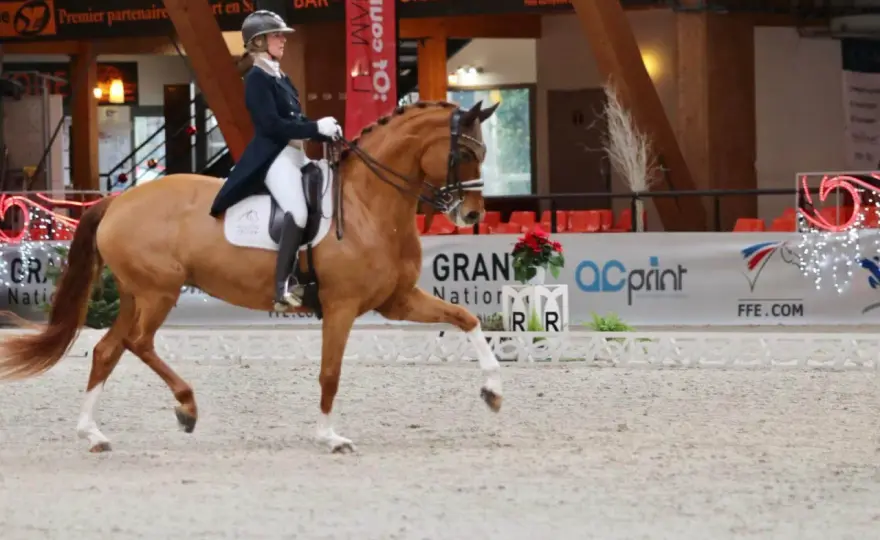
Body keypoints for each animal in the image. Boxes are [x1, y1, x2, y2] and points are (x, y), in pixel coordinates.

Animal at [0, 100, 504, 454]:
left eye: (484, 151)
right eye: (464, 151)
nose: (472, 214)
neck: (367, 204)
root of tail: (116, 201)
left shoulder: (396, 300)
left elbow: (466, 318)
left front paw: (494, 391)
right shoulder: (341, 307)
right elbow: (330, 373)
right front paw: (330, 437)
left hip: (135, 293)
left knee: (109, 349)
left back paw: (94, 434)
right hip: (158, 291)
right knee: (138, 343)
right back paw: (186, 407)